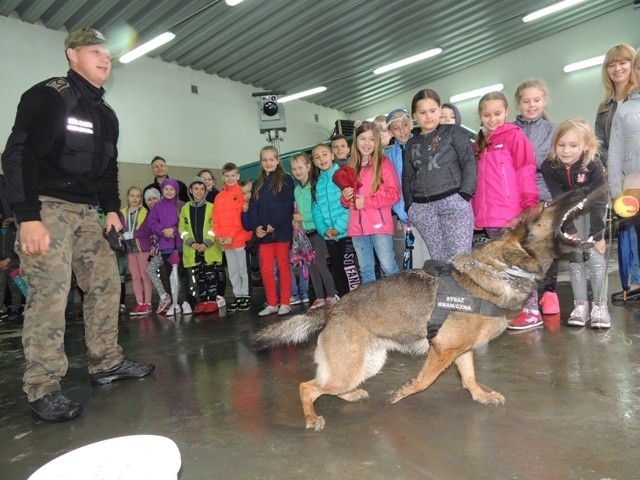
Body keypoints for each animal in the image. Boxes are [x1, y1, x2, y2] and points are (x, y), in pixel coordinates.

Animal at [252, 192, 592, 432]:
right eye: (547, 205)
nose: (581, 191)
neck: (499, 271)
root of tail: (333, 307)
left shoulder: (460, 351)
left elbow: (469, 378)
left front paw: (480, 395)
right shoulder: (442, 350)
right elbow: (424, 381)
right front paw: (402, 392)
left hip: (364, 364)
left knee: (328, 387)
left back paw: (351, 396)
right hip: (349, 366)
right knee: (308, 388)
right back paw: (312, 418)